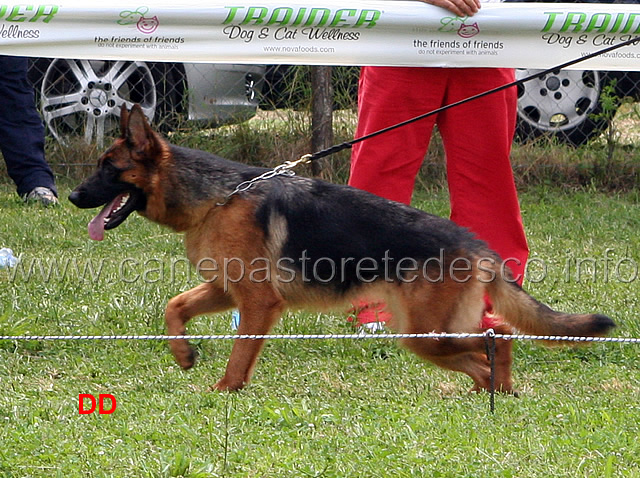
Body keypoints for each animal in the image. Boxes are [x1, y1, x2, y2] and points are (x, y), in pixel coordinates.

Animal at [70, 105, 616, 392]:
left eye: (107, 167)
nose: (72, 197)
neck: (216, 196)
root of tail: (477, 245)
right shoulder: (226, 290)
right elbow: (174, 306)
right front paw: (184, 354)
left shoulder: (257, 303)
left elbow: (237, 359)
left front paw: (224, 394)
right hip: (426, 336)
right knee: (492, 340)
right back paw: (492, 397)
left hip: (423, 335)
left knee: (496, 336)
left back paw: (496, 393)